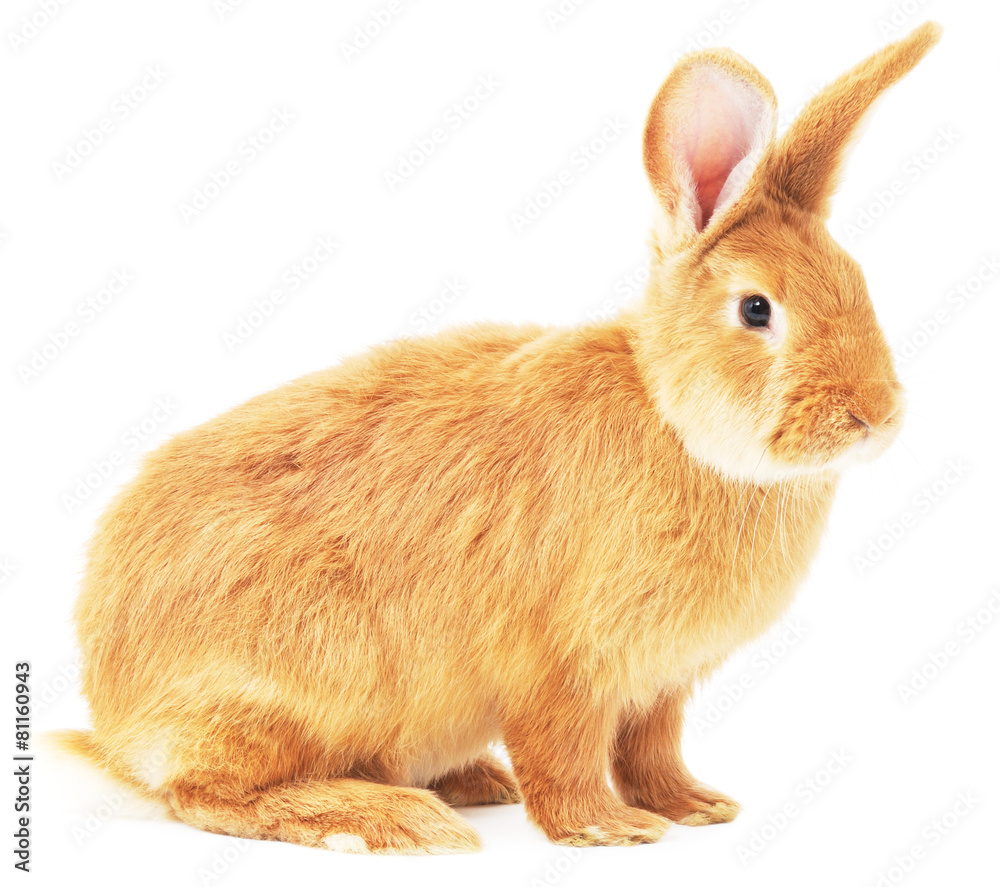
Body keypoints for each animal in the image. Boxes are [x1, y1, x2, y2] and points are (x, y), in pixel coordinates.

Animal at [55, 22, 941, 854]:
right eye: (757, 309)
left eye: (859, 284)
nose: (876, 414)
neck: (676, 423)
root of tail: (118, 717)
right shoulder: (560, 664)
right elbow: (565, 751)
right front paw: (606, 830)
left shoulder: (660, 685)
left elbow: (652, 750)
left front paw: (695, 806)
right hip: (297, 672)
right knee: (205, 794)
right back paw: (386, 818)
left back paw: (469, 781)